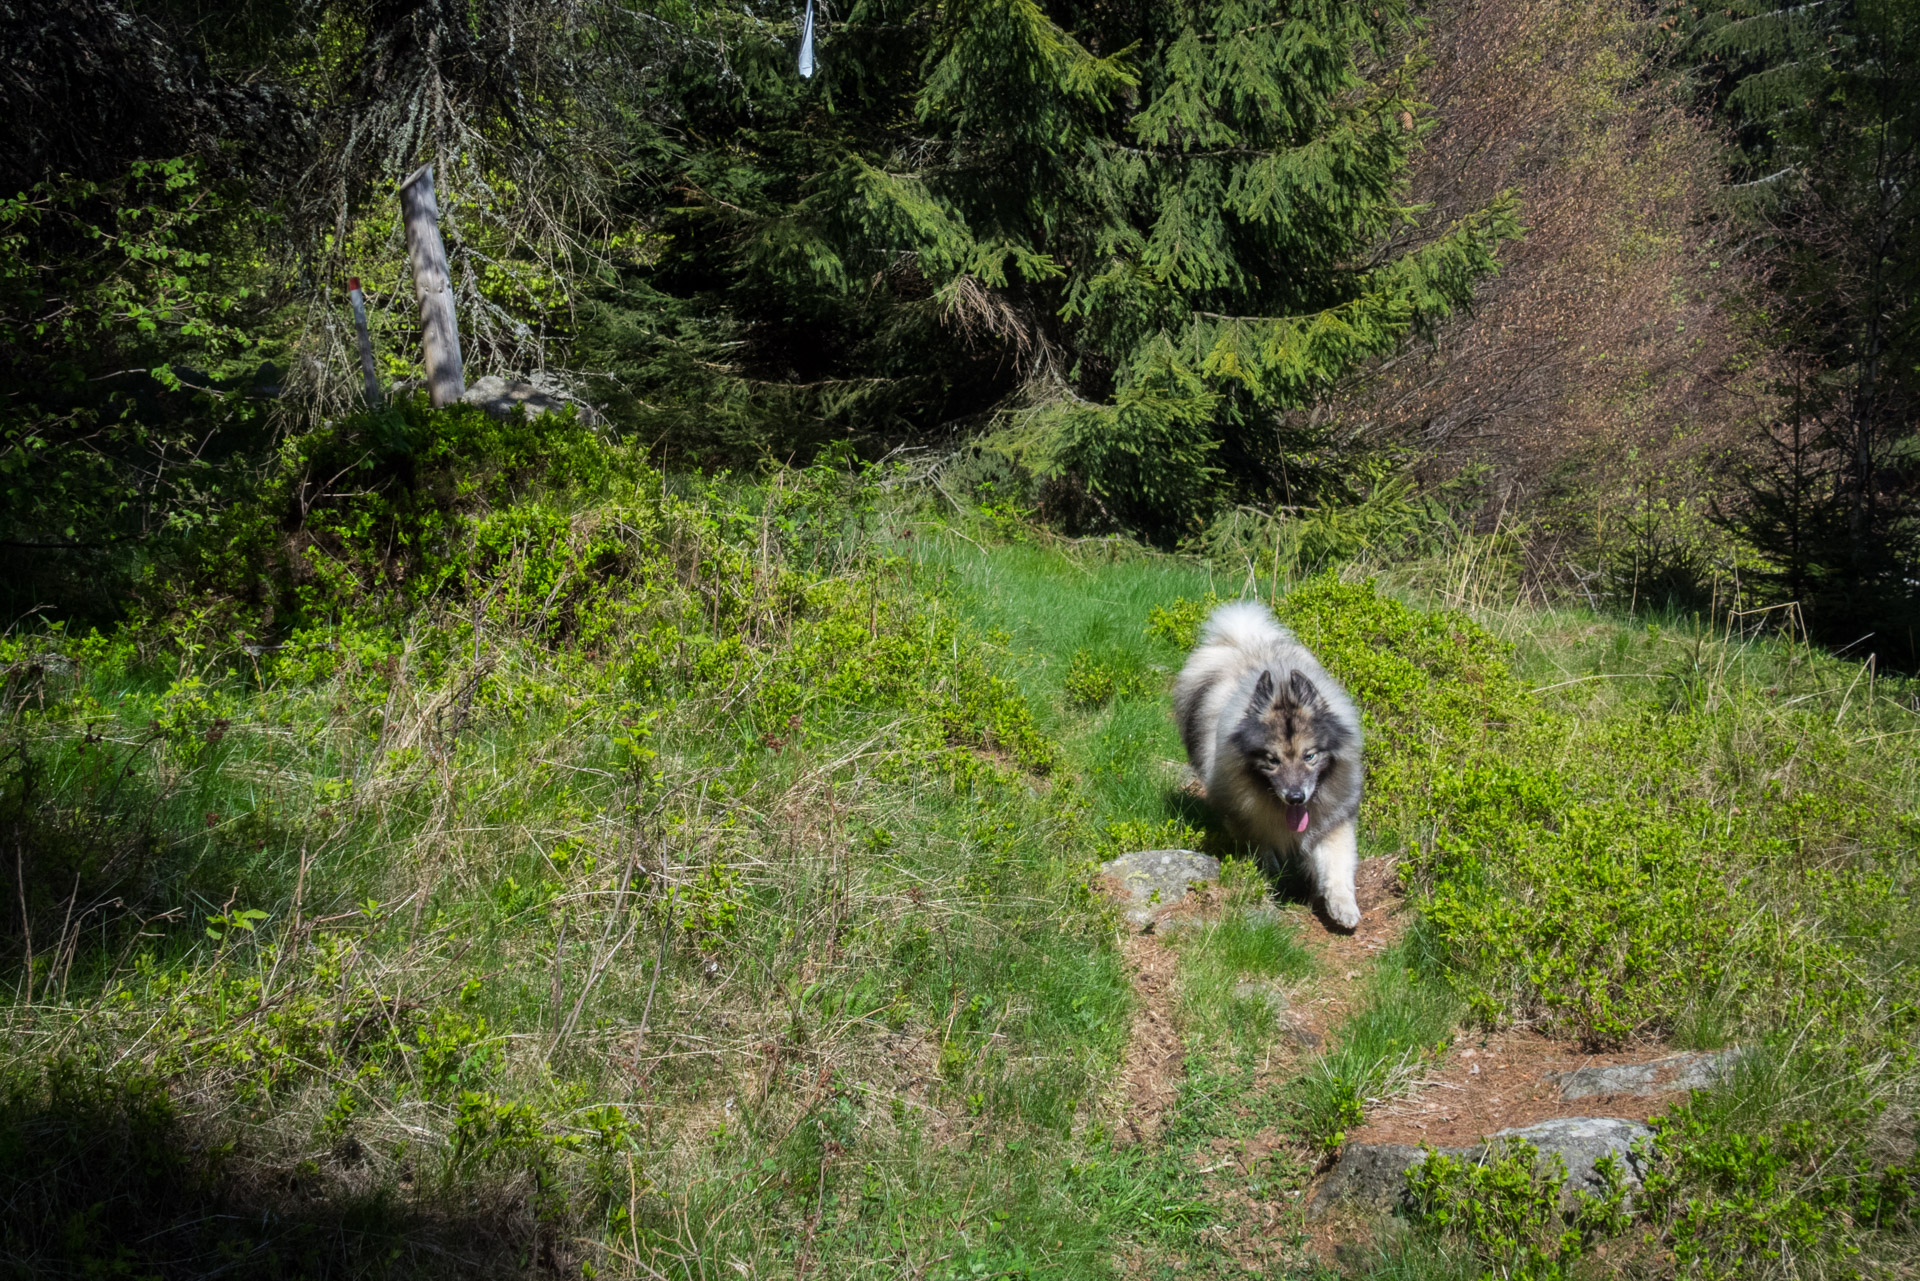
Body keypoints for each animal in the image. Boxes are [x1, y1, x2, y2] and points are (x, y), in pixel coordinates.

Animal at [1167, 603, 1367, 933]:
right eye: (1273, 760)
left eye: (1309, 756)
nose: (1296, 797)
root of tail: (1243, 639)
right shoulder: (1244, 813)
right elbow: (1261, 845)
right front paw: (1270, 871)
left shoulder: (1331, 818)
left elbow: (1337, 863)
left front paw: (1343, 907)